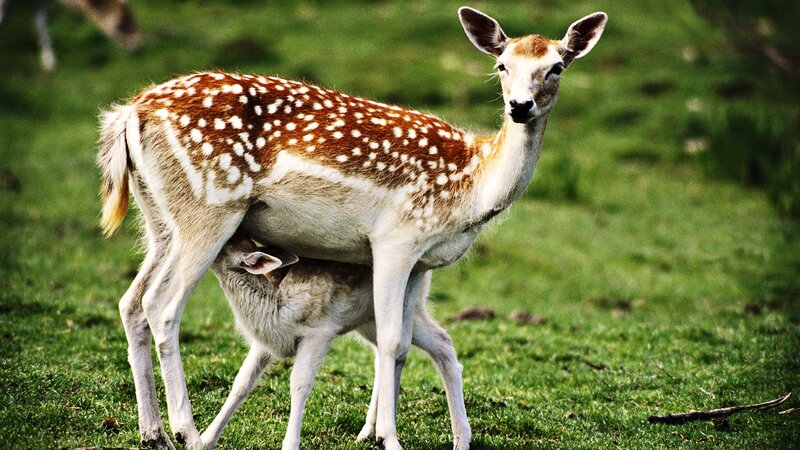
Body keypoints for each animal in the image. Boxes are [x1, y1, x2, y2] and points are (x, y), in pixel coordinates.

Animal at [202, 233, 469, 450]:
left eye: (227, 240)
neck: (276, 306)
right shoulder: (266, 342)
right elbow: (241, 383)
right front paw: (205, 439)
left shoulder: (318, 332)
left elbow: (299, 384)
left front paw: (290, 444)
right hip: (368, 320)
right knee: (384, 353)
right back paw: (367, 432)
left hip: (411, 308)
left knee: (442, 342)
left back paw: (460, 439)